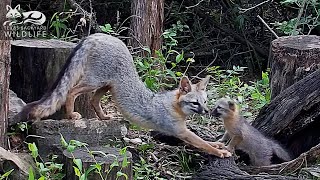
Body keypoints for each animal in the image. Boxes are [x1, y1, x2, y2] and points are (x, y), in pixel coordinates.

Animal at [13, 33, 231, 158]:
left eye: (205, 101)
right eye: (195, 103)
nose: (206, 112)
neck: (173, 106)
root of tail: (97, 35)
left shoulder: (182, 131)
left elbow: (205, 141)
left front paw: (219, 144)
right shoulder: (180, 132)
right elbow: (202, 143)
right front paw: (219, 152)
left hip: (107, 86)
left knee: (93, 100)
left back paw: (103, 117)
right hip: (94, 82)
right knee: (72, 92)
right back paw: (71, 115)